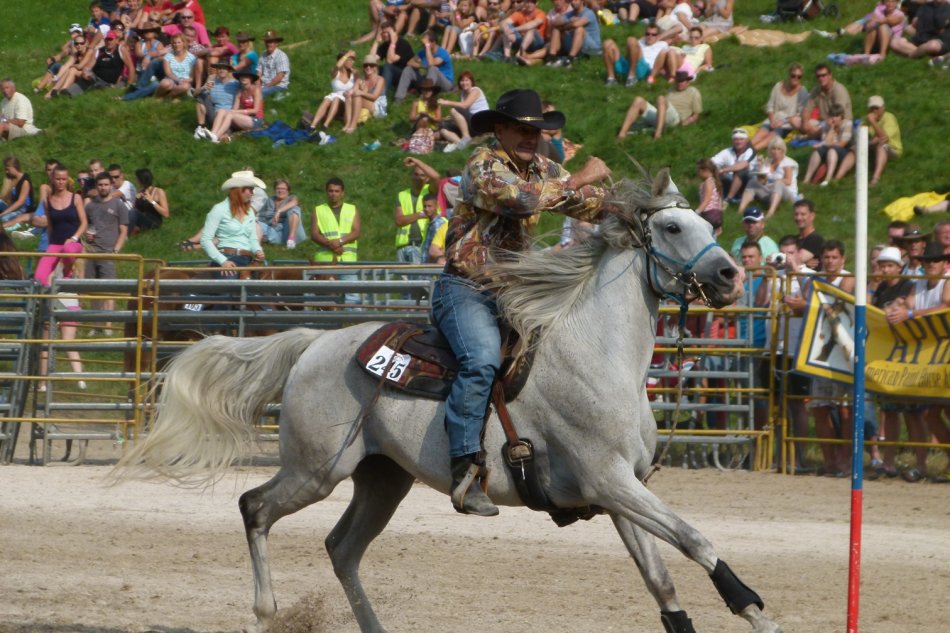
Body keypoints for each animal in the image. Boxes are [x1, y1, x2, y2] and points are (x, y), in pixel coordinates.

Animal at [113, 171, 783, 633]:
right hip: (316, 469)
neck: (599, 354)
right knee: (255, 508)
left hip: (382, 478)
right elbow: (696, 542)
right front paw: (756, 609)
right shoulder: (609, 480)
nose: (730, 276)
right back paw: (266, 610)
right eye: (672, 228)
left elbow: (662, 583)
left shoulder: (623, 491)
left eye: (711, 226)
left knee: (342, 548)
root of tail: (314, 343)